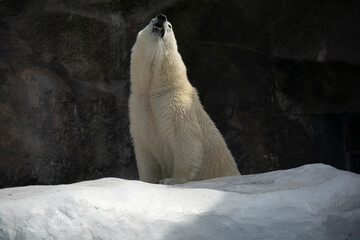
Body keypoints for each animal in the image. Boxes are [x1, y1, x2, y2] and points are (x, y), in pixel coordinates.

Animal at [128, 14, 240, 185]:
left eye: (170, 26)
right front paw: (146, 181)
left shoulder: (177, 102)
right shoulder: (139, 107)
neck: (153, 89)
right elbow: (145, 148)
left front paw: (170, 180)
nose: (161, 17)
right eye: (151, 20)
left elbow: (185, 138)